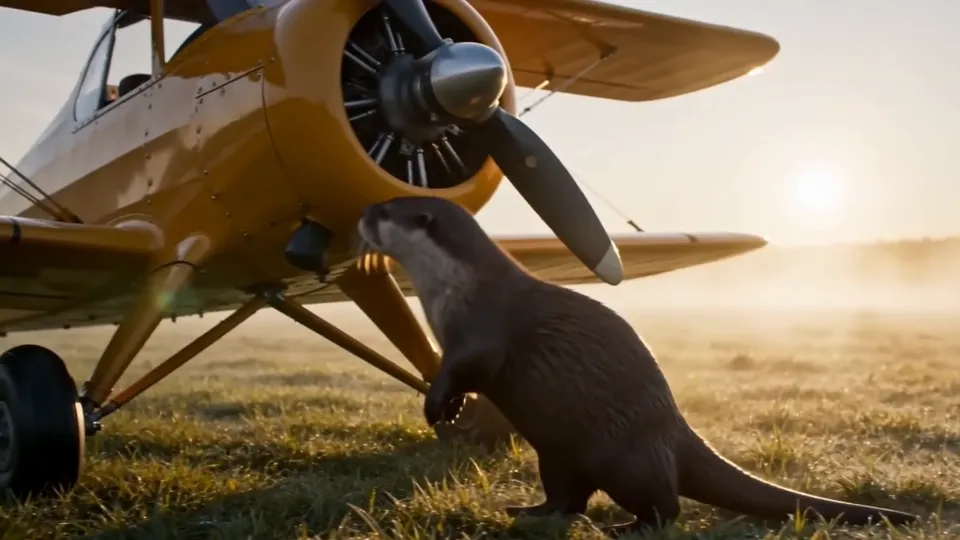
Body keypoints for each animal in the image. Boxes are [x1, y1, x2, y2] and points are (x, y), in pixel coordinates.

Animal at [356, 196, 919, 534]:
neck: (452, 290)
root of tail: (674, 429)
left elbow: (466, 368)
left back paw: (626, 526)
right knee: (569, 497)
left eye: (387, 209)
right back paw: (530, 511)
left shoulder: (482, 329)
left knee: (664, 506)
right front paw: (450, 410)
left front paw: (439, 406)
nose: (361, 213)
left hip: (626, 457)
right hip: (556, 453)